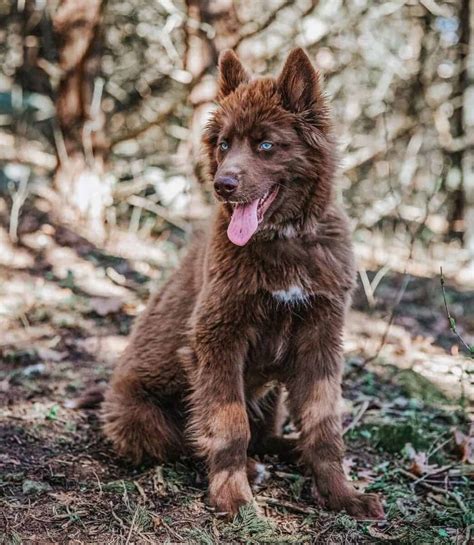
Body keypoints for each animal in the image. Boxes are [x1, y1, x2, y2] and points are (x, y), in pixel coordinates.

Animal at [103, 50, 386, 520]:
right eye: (223, 144)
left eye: (265, 145)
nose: (223, 185)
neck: (284, 239)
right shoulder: (218, 336)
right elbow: (228, 424)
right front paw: (233, 496)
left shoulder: (321, 337)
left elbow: (324, 425)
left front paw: (342, 495)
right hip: (140, 417)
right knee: (189, 437)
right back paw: (252, 468)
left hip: (272, 389)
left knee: (267, 432)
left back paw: (289, 450)